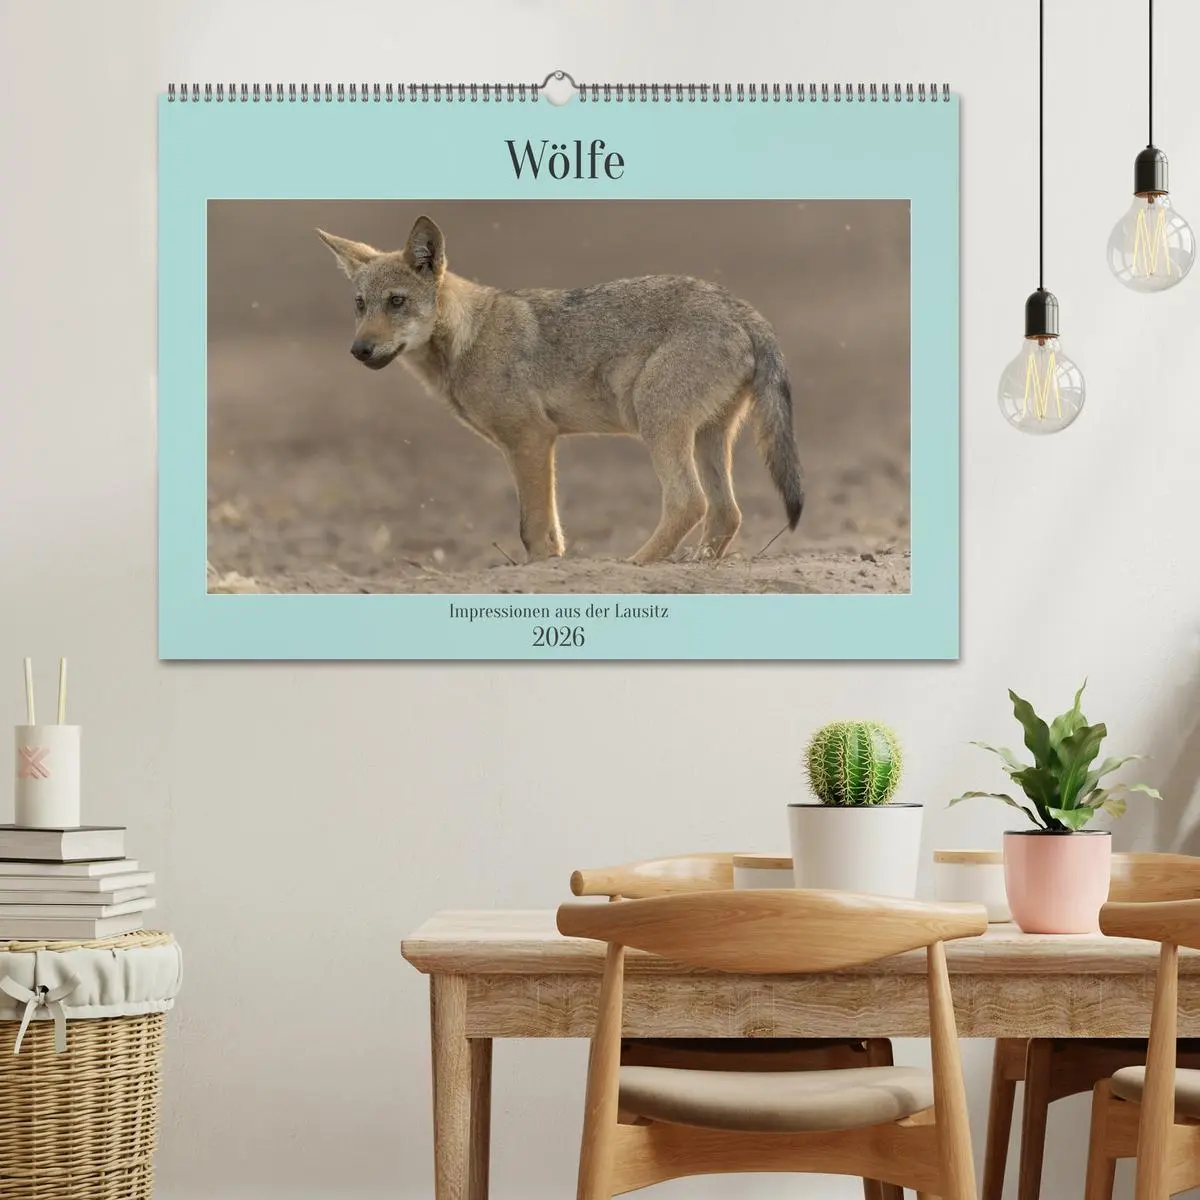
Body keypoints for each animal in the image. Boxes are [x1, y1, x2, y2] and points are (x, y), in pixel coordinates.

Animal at [316, 216, 804, 564]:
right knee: (726, 513)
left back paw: (634, 564)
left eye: (396, 302)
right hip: (708, 436)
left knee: (690, 502)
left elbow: (532, 528)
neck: (469, 337)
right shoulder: (532, 444)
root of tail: (743, 309)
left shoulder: (531, 440)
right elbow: (549, 532)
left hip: (658, 423)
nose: (359, 350)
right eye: (360, 305)